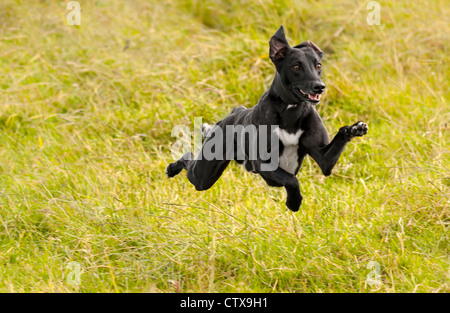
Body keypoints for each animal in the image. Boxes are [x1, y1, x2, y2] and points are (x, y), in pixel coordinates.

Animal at [167, 25, 368, 211]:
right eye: (296, 66)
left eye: (318, 65)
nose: (319, 87)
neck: (290, 111)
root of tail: (235, 112)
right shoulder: (263, 162)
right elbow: (291, 179)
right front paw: (294, 202)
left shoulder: (324, 159)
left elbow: (334, 145)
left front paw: (355, 129)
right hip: (203, 175)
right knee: (188, 159)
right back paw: (172, 168)